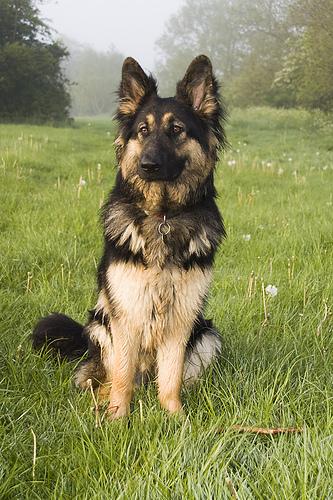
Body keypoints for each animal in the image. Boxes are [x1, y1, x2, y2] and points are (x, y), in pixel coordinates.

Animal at [32, 54, 226, 418]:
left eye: (176, 130)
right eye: (143, 131)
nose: (147, 165)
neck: (162, 217)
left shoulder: (181, 317)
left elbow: (171, 378)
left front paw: (175, 418)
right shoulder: (125, 315)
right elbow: (122, 376)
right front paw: (116, 418)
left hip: (207, 333)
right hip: (100, 324)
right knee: (106, 378)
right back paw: (102, 400)